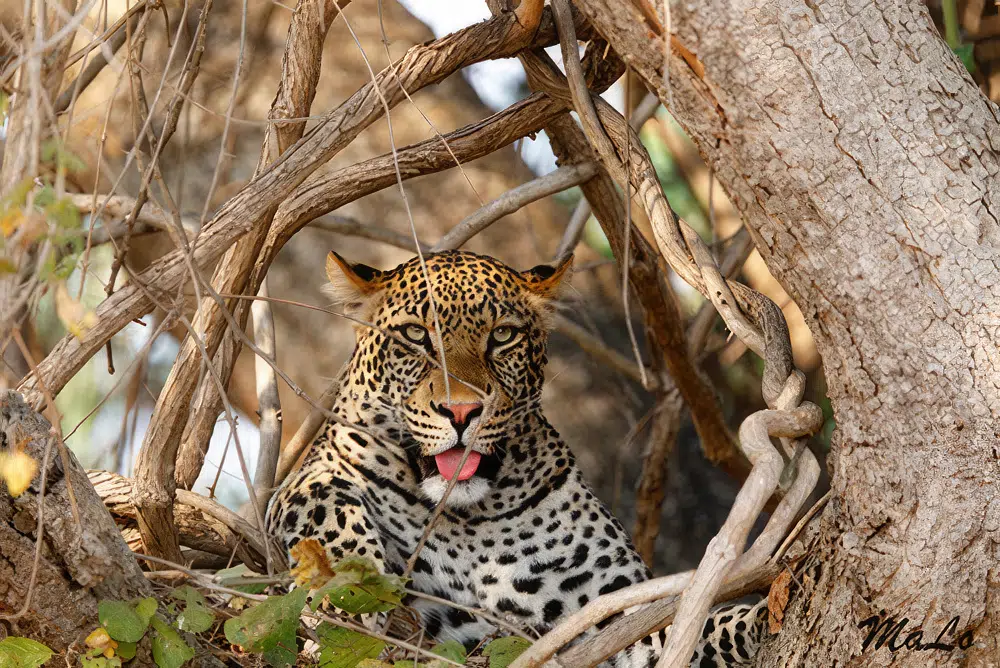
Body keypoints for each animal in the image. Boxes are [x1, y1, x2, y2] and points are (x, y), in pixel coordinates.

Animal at [267, 250, 769, 667]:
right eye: (415, 335)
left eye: (503, 336)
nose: (461, 411)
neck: (467, 519)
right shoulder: (304, 480)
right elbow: (326, 506)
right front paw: (349, 587)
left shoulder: (612, 611)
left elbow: (690, 625)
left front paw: (762, 617)